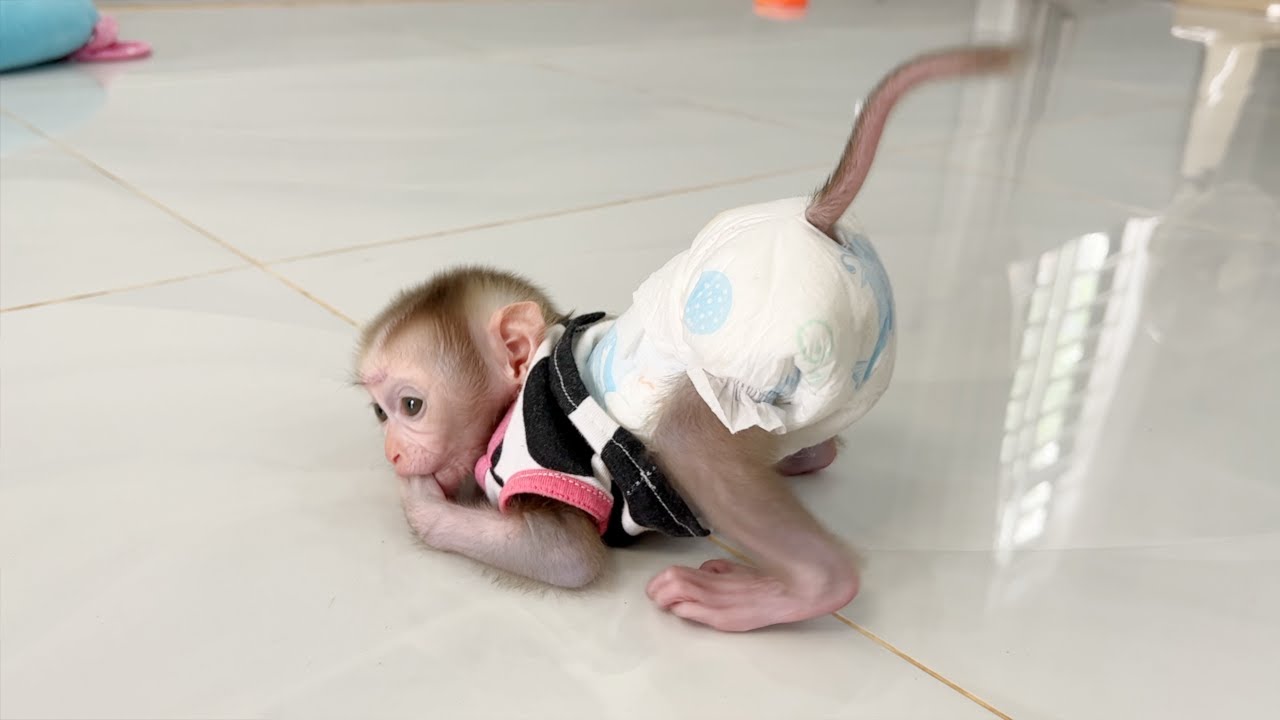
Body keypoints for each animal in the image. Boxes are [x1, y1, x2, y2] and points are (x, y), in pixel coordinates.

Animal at [355, 45, 1020, 632]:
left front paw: (423, 506)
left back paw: (794, 589)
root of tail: (814, 220)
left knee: (689, 439)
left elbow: (565, 559)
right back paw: (806, 460)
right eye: (378, 412)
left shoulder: (537, 443)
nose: (392, 452)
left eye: (411, 406)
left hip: (754, 358)